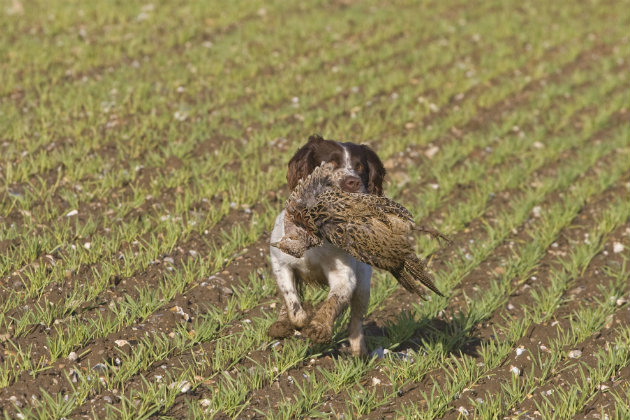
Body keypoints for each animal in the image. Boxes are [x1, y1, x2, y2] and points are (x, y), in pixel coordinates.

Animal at [270, 134, 388, 354]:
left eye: (360, 167)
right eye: (330, 163)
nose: (353, 182)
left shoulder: (344, 275)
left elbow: (335, 300)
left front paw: (318, 328)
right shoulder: (280, 262)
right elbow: (291, 300)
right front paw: (298, 321)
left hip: (363, 284)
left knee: (356, 319)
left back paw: (359, 352)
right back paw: (281, 325)